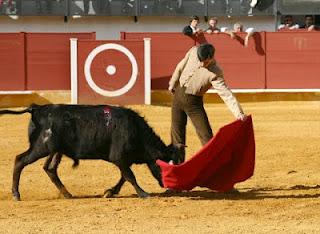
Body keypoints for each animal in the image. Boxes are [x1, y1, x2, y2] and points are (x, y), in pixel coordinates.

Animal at [0, 104, 184, 201]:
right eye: (163, 165)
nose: (168, 186)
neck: (136, 130)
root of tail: (38, 108)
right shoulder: (119, 157)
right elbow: (130, 176)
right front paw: (143, 193)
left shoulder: (124, 160)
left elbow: (123, 177)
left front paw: (110, 192)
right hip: (41, 147)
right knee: (20, 160)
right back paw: (16, 194)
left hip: (55, 150)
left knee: (50, 169)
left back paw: (67, 194)